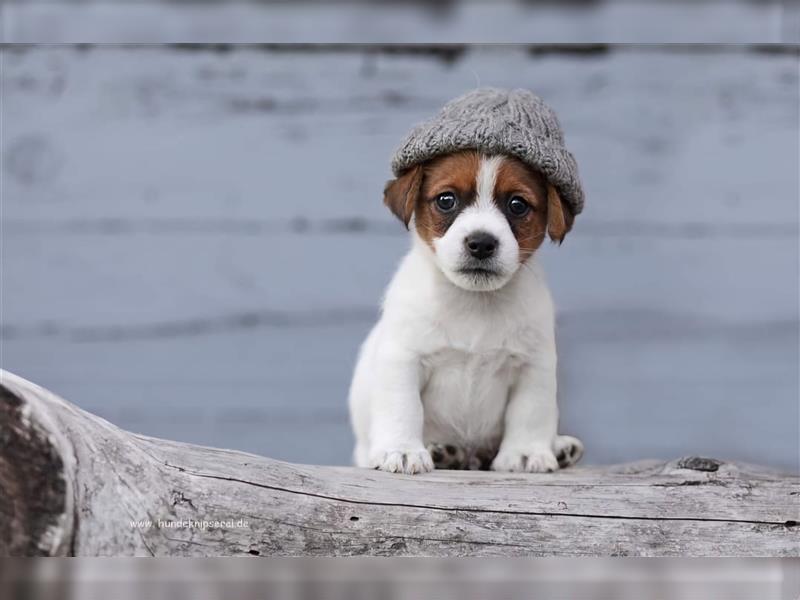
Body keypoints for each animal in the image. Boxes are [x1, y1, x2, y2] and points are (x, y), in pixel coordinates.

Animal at [346, 152, 584, 476]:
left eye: (517, 205)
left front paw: (524, 453)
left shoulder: (534, 366)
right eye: (446, 200)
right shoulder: (403, 359)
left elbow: (530, 412)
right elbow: (403, 408)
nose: (481, 243)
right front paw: (402, 450)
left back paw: (559, 448)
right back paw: (444, 452)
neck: (474, 301)